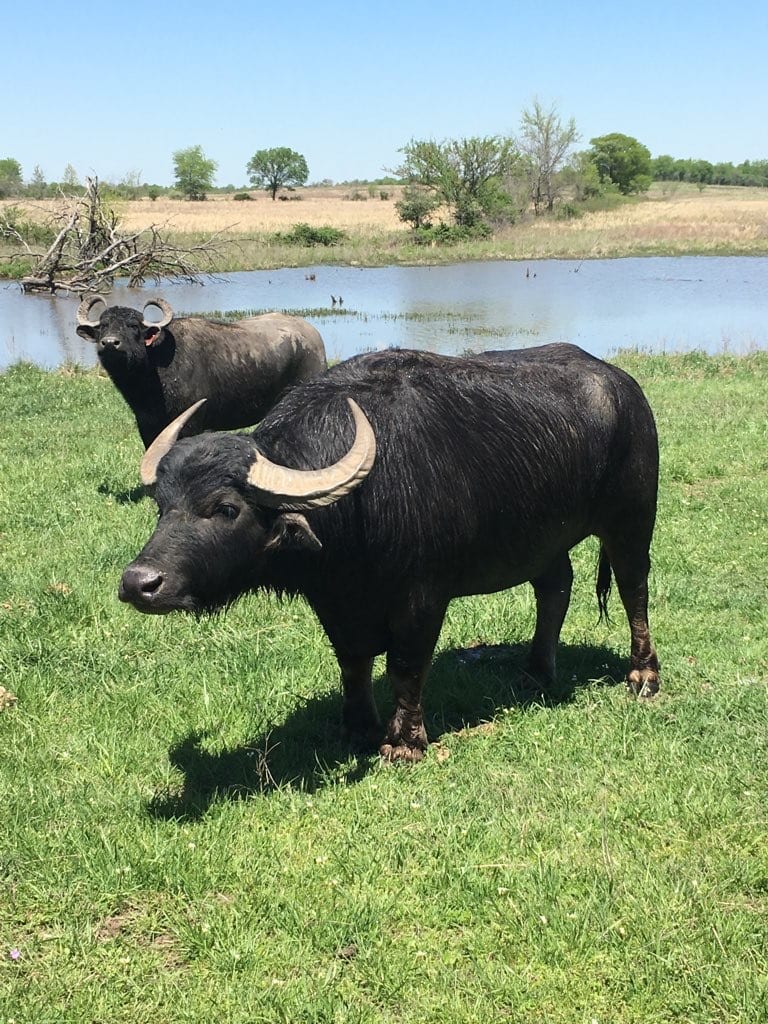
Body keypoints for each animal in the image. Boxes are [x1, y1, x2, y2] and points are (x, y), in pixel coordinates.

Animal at [76, 295, 327, 446]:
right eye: (103, 325)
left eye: (133, 326)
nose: (110, 343)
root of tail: (313, 335)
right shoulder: (146, 425)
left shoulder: (190, 425)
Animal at [119, 345, 661, 762]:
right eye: (162, 505)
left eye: (226, 508)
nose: (140, 583)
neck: (359, 506)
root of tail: (623, 387)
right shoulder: (334, 602)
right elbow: (352, 660)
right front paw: (357, 727)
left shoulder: (422, 597)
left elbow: (406, 662)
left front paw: (404, 742)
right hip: (542, 541)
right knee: (555, 587)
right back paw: (536, 671)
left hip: (632, 518)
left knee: (634, 589)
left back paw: (642, 676)